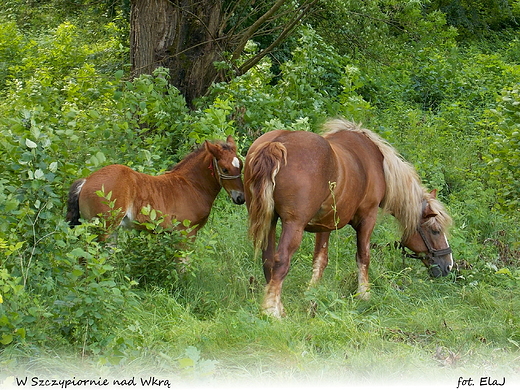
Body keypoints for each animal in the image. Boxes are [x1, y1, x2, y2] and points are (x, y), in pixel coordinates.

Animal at [66, 134, 244, 238]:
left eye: (241, 165)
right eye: (225, 169)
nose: (241, 198)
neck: (192, 185)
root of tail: (86, 181)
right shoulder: (186, 233)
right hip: (104, 228)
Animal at [244, 119, 450, 316]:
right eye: (436, 230)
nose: (448, 266)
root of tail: (276, 143)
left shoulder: (325, 225)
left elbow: (320, 260)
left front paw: (312, 294)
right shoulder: (368, 217)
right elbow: (363, 256)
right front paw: (364, 293)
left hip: (270, 221)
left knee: (268, 260)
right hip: (293, 225)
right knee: (281, 260)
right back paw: (272, 311)